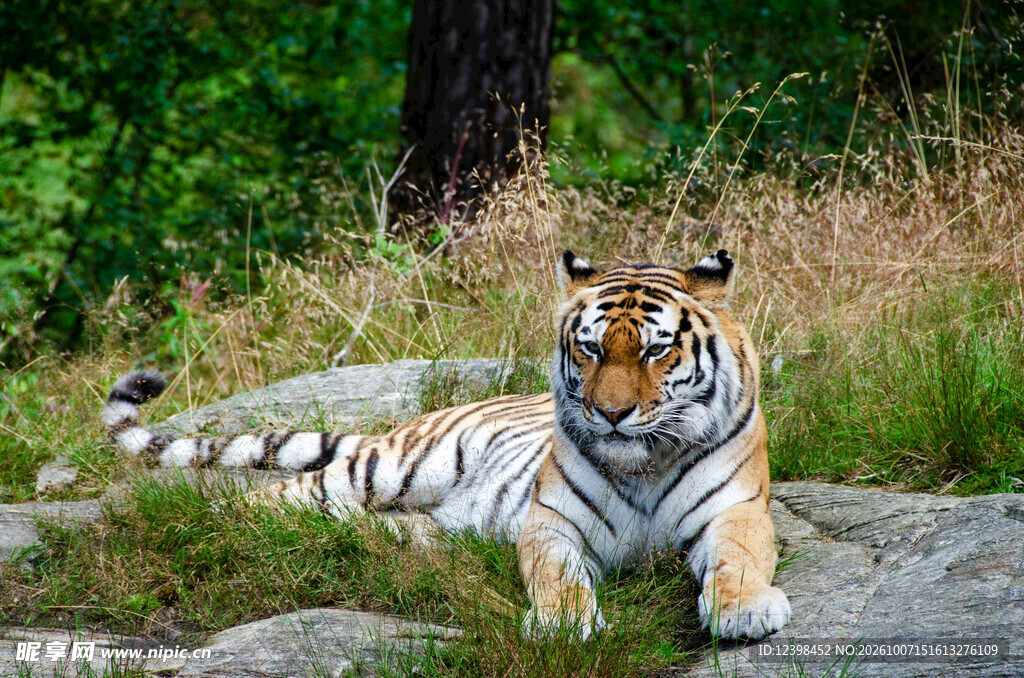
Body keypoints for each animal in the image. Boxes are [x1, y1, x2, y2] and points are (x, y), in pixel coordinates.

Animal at [103, 250, 790, 641]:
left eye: (654, 350)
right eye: (591, 348)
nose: (611, 414)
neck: (642, 464)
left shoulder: (737, 511)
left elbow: (737, 561)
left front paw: (745, 610)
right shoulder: (554, 523)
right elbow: (558, 577)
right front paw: (563, 622)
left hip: (417, 519)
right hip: (386, 468)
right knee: (257, 502)